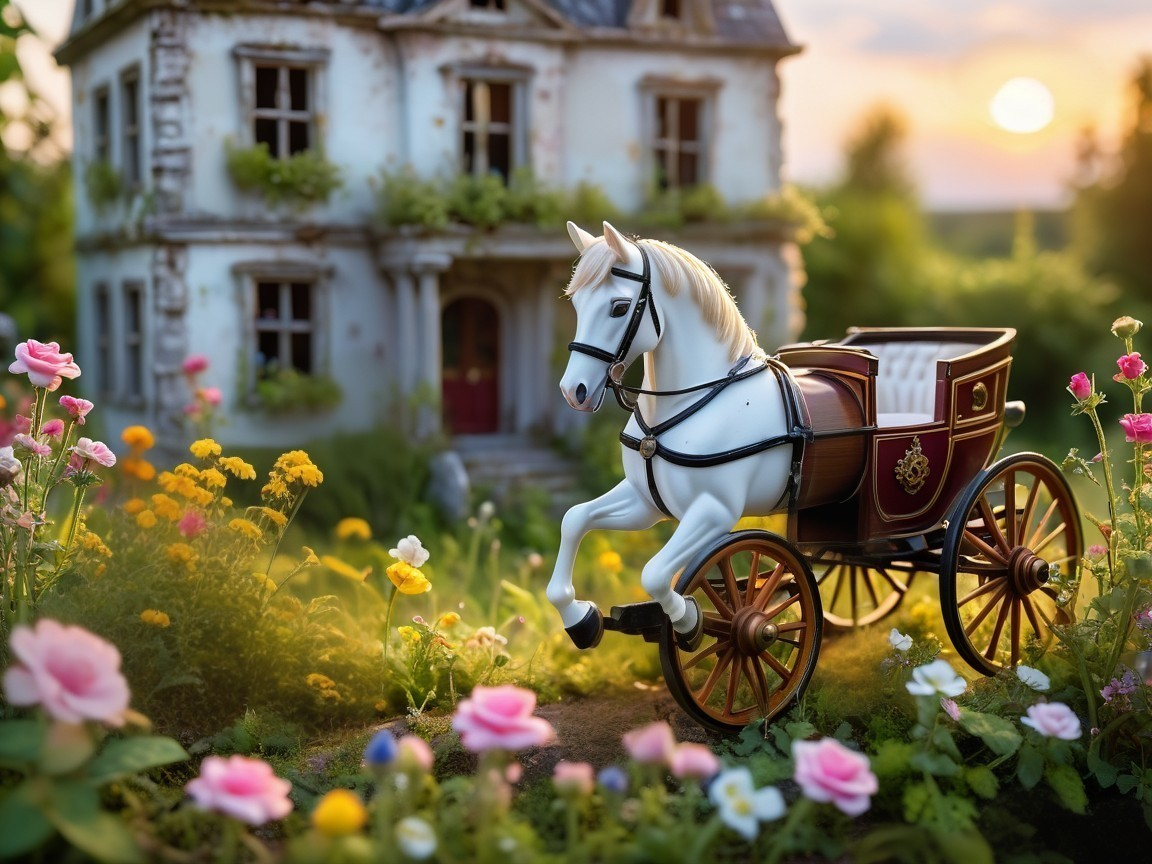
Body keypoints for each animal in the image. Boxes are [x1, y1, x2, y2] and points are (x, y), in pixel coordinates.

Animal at [548, 220, 807, 650]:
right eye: (576, 304)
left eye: (619, 307)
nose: (574, 392)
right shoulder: (645, 502)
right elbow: (574, 519)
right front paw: (580, 618)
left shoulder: (716, 511)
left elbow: (654, 574)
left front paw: (688, 619)